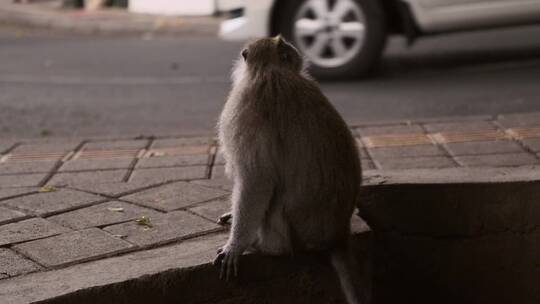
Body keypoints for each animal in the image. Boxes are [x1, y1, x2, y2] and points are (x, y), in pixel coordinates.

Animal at [214, 36, 362, 304]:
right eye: (286, 46)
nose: (295, 49)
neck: (269, 68)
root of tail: (338, 235)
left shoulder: (243, 105)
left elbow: (256, 179)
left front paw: (235, 245)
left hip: (294, 234)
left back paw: (265, 245)